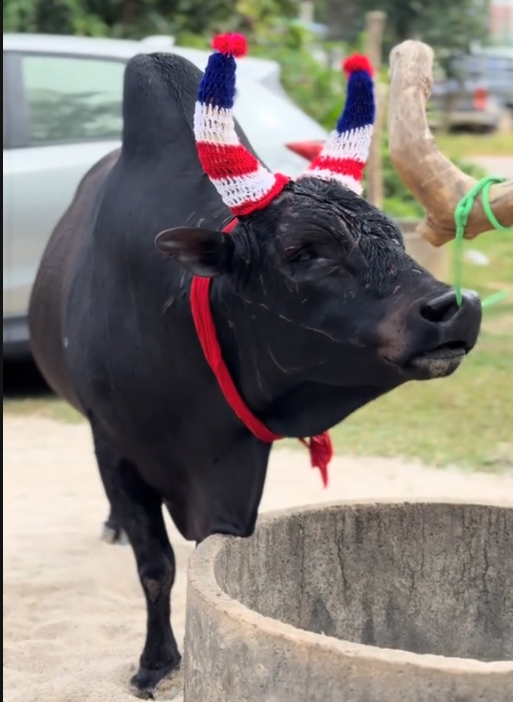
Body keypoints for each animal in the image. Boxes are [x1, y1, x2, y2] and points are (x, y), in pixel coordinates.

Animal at [28, 34, 481, 697]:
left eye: (396, 240)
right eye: (305, 251)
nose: (456, 308)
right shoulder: (115, 446)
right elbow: (156, 566)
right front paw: (155, 661)